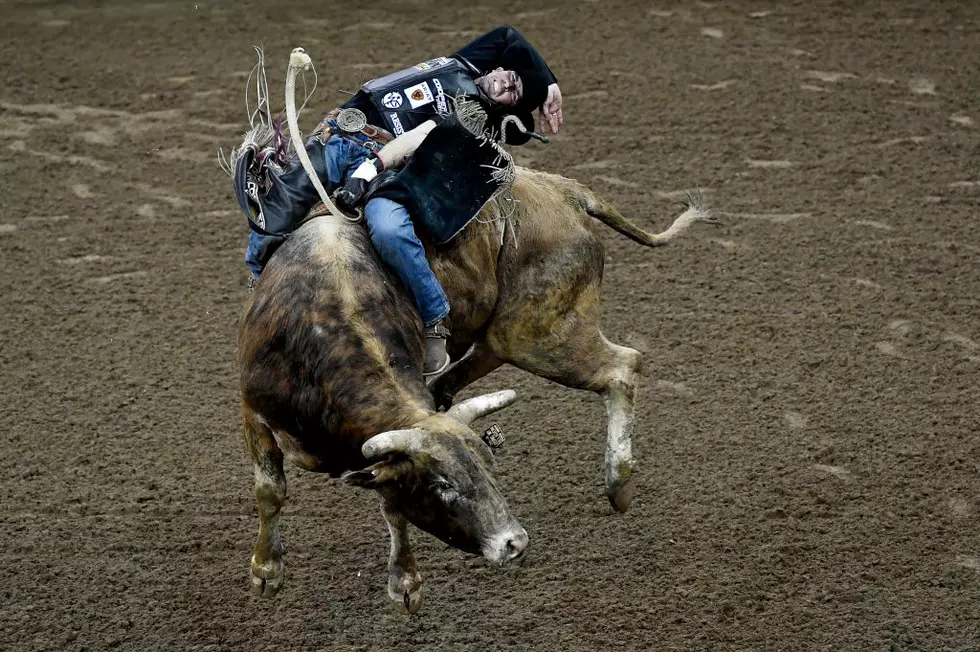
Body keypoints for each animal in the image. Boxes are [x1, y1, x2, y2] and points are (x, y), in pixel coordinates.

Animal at [237, 159, 712, 612]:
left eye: (488, 469)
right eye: (442, 486)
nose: (513, 543)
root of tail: (565, 191)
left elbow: (392, 505)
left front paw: (405, 584)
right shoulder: (254, 411)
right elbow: (270, 490)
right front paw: (266, 571)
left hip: (539, 333)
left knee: (623, 366)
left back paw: (619, 483)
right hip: (510, 336)